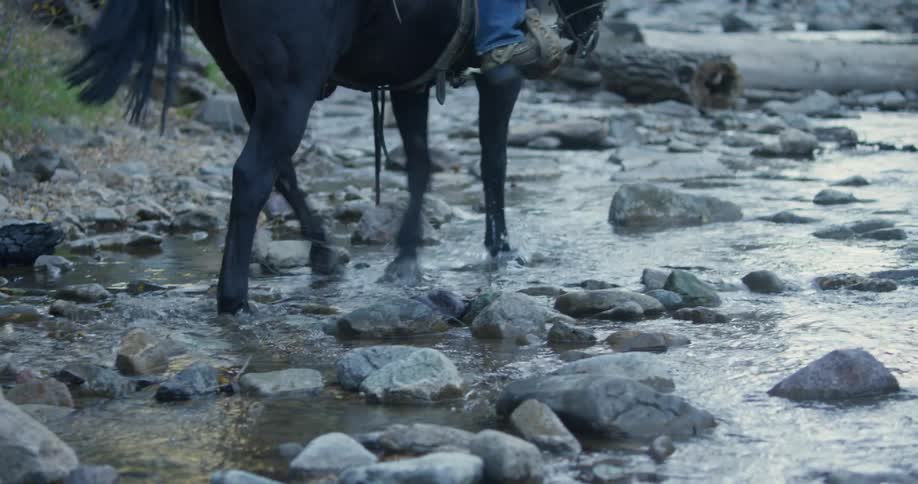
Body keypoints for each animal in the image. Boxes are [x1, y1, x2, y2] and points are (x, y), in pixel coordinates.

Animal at [67, 0, 605, 314]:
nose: (589, 33)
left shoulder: (408, 80)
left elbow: (419, 166)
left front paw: (406, 257)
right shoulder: (500, 76)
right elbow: (493, 163)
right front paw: (501, 247)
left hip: (250, 83)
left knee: (280, 171)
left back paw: (324, 249)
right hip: (292, 86)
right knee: (253, 175)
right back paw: (234, 298)